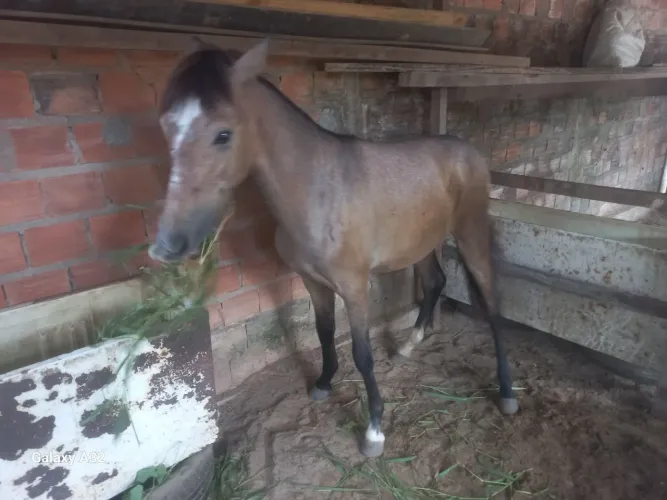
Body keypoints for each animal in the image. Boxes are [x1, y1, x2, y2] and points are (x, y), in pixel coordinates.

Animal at [148, 39, 519, 458]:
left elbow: (363, 354)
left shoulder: (354, 287)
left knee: (492, 304)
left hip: (471, 235)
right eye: (167, 128)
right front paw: (324, 382)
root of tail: (468, 151)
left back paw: (507, 392)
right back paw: (409, 346)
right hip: (421, 242)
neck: (318, 190)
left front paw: (374, 430)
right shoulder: (313, 282)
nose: (167, 246)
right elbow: (324, 331)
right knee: (435, 282)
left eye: (223, 135)